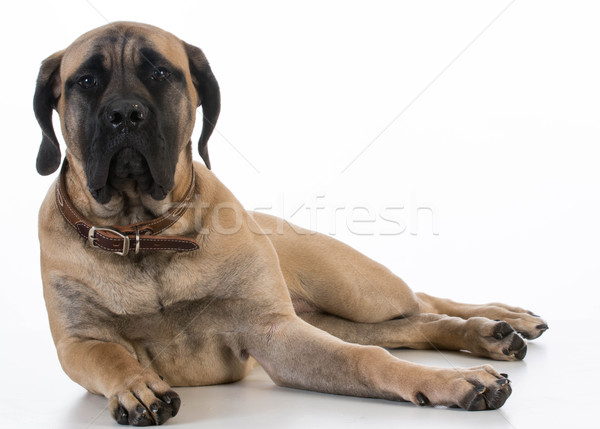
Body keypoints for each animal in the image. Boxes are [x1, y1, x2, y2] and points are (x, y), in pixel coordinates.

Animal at [34, 22, 548, 424]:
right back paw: (488, 334)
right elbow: (107, 354)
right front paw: (135, 385)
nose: (125, 113)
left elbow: (367, 359)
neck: (143, 235)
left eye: (160, 73)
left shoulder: (274, 331)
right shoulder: (77, 343)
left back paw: (504, 319)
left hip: (356, 291)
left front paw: (453, 380)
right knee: (413, 324)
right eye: (85, 80)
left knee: (419, 301)